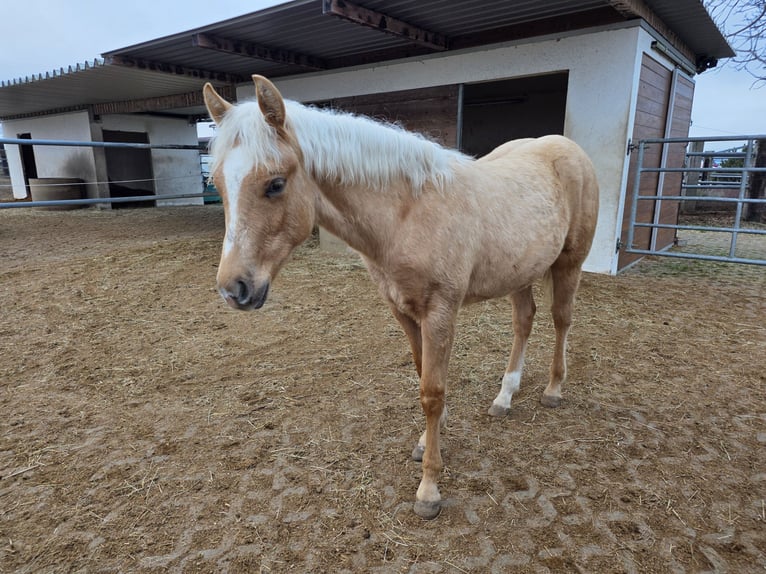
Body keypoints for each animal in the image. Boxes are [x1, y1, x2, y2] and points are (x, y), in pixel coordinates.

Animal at [202, 75, 599, 520]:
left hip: (569, 263)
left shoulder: (440, 312)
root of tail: (566, 148)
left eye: (275, 184)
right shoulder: (403, 311)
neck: (408, 214)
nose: (233, 288)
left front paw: (429, 488)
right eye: (219, 183)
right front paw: (427, 444)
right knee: (524, 321)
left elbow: (433, 392)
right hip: (521, 272)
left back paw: (553, 390)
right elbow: (423, 376)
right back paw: (505, 396)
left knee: (561, 319)